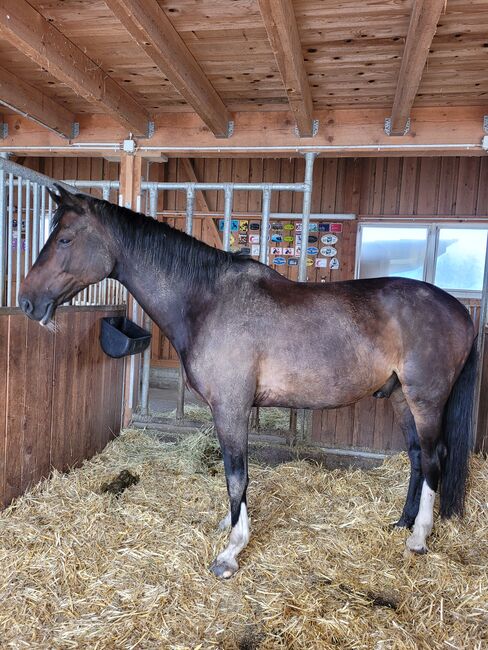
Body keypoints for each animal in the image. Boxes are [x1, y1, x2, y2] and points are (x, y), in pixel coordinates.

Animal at [20, 186, 476, 576]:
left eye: (65, 240)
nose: (27, 301)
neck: (206, 300)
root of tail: (459, 311)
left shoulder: (231, 407)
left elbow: (236, 473)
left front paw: (231, 550)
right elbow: (233, 475)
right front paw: (229, 521)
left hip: (425, 399)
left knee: (434, 457)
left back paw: (419, 537)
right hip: (400, 396)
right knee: (416, 457)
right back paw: (402, 522)